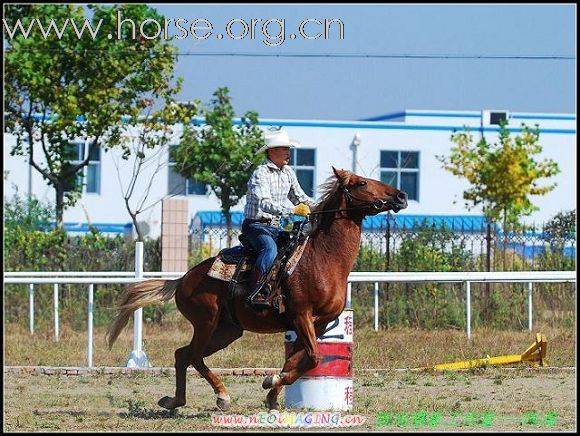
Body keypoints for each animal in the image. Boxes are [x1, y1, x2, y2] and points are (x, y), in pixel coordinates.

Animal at [105, 165, 408, 410]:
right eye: (361, 183)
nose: (401, 196)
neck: (323, 259)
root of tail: (183, 279)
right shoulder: (302, 315)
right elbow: (312, 357)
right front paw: (271, 382)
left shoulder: (319, 323)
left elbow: (297, 360)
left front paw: (272, 393)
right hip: (206, 322)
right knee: (194, 356)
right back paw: (222, 396)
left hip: (227, 331)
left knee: (183, 355)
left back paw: (175, 401)